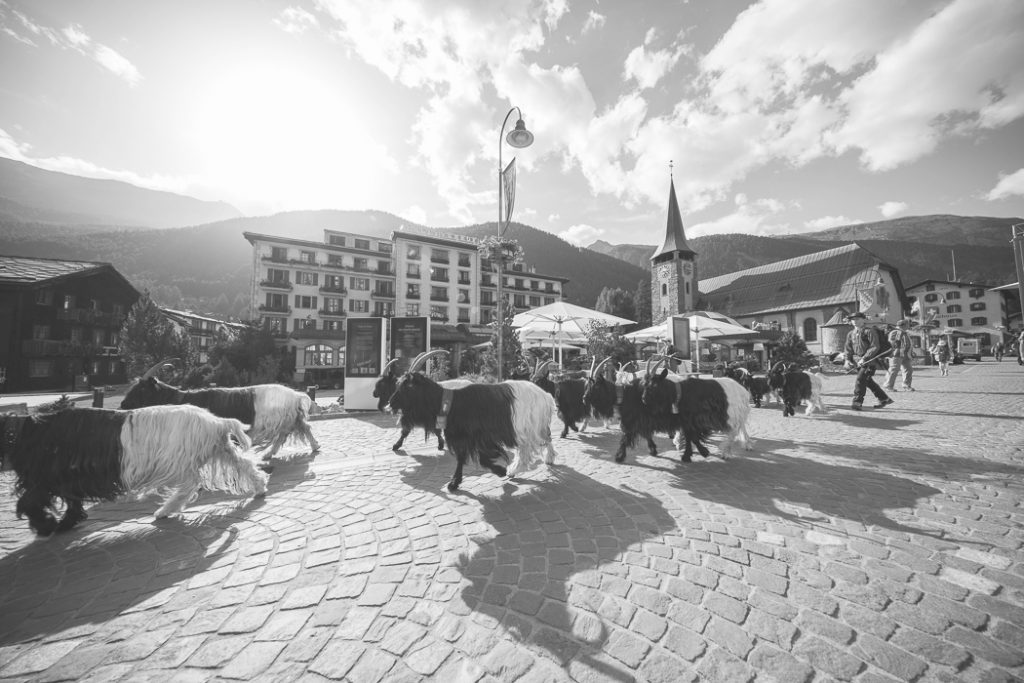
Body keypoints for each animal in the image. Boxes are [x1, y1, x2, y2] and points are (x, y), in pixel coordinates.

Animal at [0, 403, 268, 536]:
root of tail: (215, 422)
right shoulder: (65, 481)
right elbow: (70, 502)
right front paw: (66, 522)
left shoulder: (46, 479)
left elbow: (27, 501)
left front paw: (46, 526)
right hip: (220, 450)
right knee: (244, 465)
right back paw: (260, 488)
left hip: (178, 461)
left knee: (190, 485)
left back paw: (165, 510)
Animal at [120, 360, 319, 462]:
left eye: (142, 389)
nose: (122, 404)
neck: (179, 399)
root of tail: (295, 394)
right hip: (288, 419)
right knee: (299, 429)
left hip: (281, 419)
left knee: (291, 432)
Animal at [385, 352, 561, 491]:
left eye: (408, 386)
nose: (390, 403)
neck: (450, 402)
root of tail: (545, 395)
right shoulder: (464, 438)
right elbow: (462, 458)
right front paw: (454, 483)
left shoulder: (480, 436)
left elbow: (480, 458)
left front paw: (501, 471)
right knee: (535, 444)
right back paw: (521, 468)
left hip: (529, 426)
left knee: (540, 442)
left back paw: (537, 462)